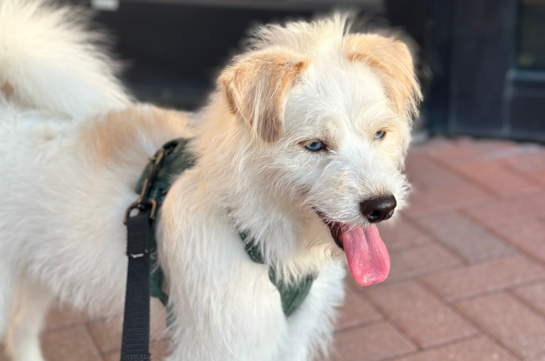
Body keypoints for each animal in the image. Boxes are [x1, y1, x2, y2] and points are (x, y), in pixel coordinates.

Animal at [0, 1, 420, 358]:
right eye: (314, 145)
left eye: (380, 134)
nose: (382, 207)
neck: (252, 229)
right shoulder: (224, 344)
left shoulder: (290, 338)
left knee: (21, 331)